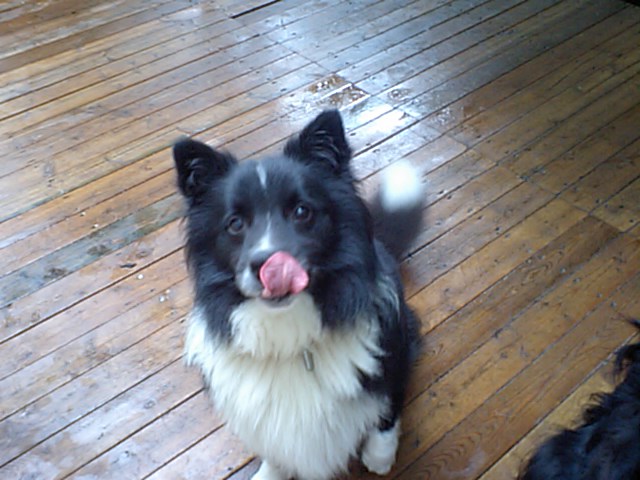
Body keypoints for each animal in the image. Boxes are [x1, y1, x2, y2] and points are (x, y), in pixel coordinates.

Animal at [172, 110, 423, 480]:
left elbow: (388, 405)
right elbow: (276, 449)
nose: (268, 266)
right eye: (235, 224)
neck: (289, 333)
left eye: (302, 211)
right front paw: (270, 473)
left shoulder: (389, 352)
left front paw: (379, 455)